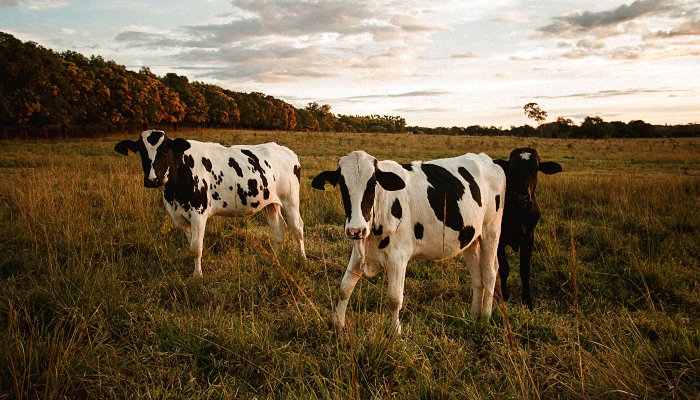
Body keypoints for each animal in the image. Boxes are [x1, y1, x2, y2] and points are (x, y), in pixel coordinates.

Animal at [115, 130, 306, 276]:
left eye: (164, 150)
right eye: (141, 151)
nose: (152, 180)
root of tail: (286, 151)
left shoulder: (198, 214)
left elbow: (197, 247)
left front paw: (197, 275)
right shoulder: (179, 217)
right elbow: (191, 246)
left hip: (290, 200)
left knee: (297, 227)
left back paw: (302, 258)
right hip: (269, 203)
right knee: (279, 229)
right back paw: (276, 259)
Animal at [312, 150, 504, 334]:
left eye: (372, 184)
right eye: (342, 185)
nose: (355, 230)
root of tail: (486, 159)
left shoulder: (398, 257)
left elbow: (394, 298)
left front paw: (395, 332)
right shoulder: (359, 253)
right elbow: (344, 288)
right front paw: (337, 325)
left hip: (491, 230)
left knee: (489, 273)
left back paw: (485, 317)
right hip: (470, 237)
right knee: (477, 276)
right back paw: (473, 315)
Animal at [492, 148, 564, 308]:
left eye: (535, 169)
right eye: (512, 168)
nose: (522, 197)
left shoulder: (529, 239)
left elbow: (525, 270)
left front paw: (527, 301)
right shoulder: (500, 240)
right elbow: (504, 268)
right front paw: (505, 296)